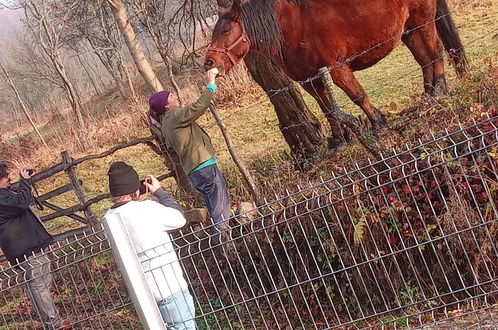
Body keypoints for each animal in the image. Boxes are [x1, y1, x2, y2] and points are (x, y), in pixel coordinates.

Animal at [204, 0, 468, 148]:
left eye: (226, 30)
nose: (209, 62)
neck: (291, 26)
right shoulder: (310, 81)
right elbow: (328, 110)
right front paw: (340, 141)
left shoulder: (337, 69)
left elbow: (358, 95)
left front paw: (377, 123)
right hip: (408, 29)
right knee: (424, 59)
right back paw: (429, 95)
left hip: (423, 19)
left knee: (434, 50)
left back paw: (439, 89)